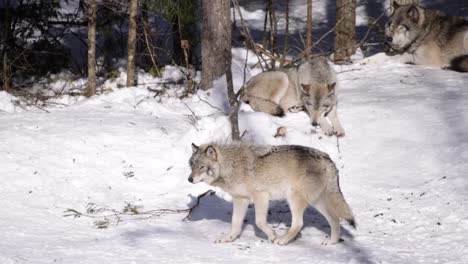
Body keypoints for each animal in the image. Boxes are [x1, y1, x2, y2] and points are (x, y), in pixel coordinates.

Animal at [186, 143, 354, 244]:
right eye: (191, 165)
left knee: (299, 223)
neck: (232, 166)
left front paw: (272, 236)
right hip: (316, 201)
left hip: (294, 198)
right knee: (335, 219)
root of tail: (326, 158)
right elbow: (235, 224)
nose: (189, 179)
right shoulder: (241, 199)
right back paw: (332, 241)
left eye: (202, 167)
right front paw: (228, 238)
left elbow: (259, 222)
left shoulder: (261, 196)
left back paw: (282, 240)